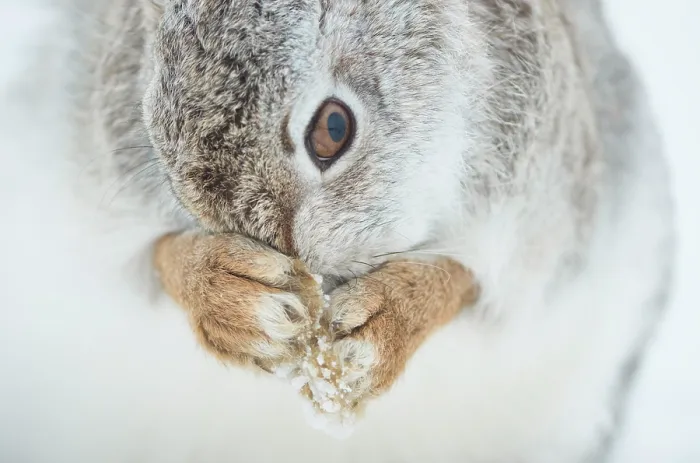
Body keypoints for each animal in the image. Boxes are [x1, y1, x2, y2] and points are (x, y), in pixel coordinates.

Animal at [65, 0, 675, 461]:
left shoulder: (541, 208)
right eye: (151, 112)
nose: (287, 251)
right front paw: (240, 301)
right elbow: (159, 256)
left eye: (333, 128)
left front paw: (376, 334)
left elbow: (468, 280)